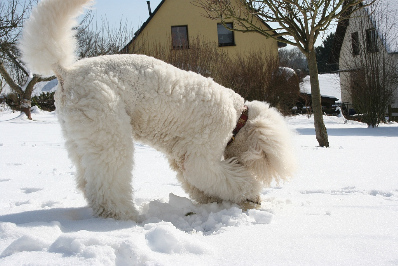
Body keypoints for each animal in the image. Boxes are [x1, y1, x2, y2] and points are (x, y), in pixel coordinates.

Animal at [21, 0, 296, 220]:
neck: (238, 117)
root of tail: (66, 73)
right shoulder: (200, 155)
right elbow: (218, 176)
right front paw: (250, 195)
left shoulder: (180, 156)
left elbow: (200, 183)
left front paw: (214, 200)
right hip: (109, 133)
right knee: (108, 184)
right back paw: (125, 216)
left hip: (82, 137)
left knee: (87, 180)